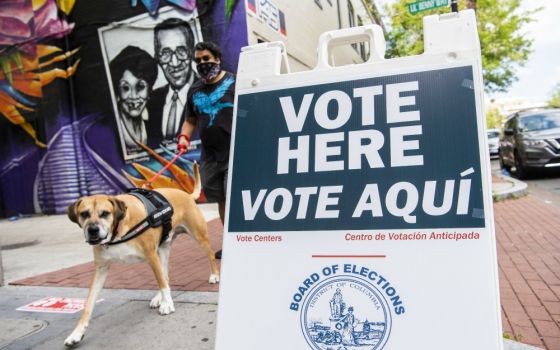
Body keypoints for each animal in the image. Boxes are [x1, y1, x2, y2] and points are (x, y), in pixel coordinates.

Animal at [61, 168, 219, 346]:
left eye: (105, 214)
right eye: (84, 214)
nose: (93, 230)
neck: (118, 230)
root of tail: (187, 194)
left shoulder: (150, 255)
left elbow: (162, 283)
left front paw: (168, 304)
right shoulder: (101, 268)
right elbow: (88, 304)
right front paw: (77, 333)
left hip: (198, 236)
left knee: (208, 255)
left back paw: (214, 275)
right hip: (162, 249)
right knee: (165, 275)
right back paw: (158, 298)